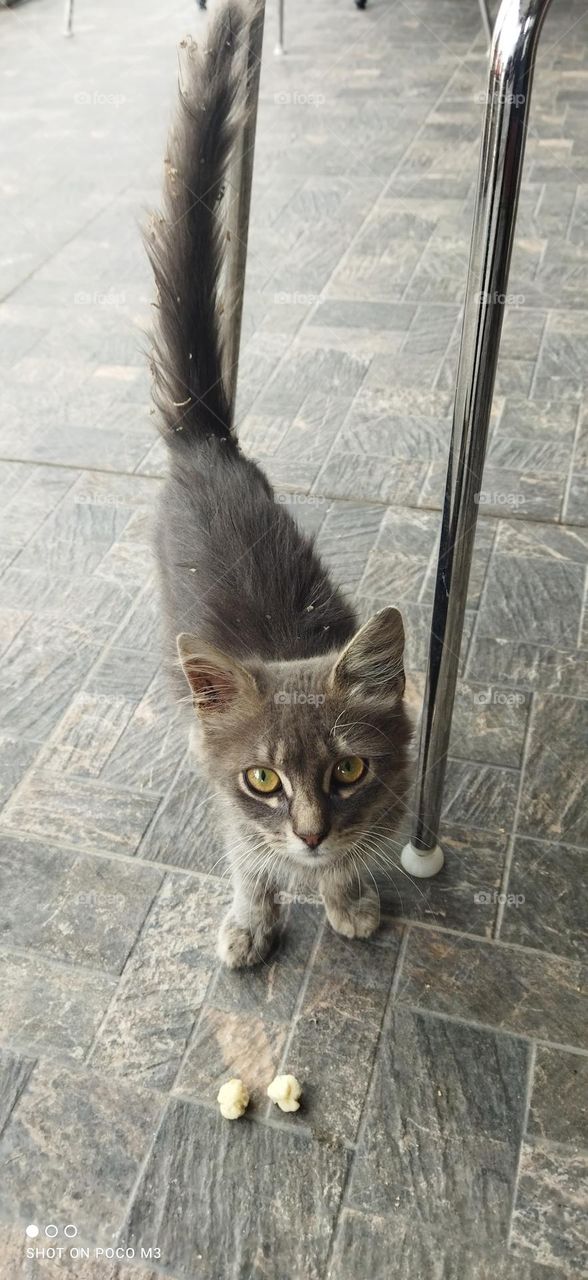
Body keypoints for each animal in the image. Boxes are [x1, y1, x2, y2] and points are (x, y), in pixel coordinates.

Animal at [147, 2, 415, 967]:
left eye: (349, 770)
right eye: (263, 778)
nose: (309, 833)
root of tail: (206, 443)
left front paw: (344, 893)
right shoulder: (225, 791)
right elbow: (242, 853)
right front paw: (253, 917)